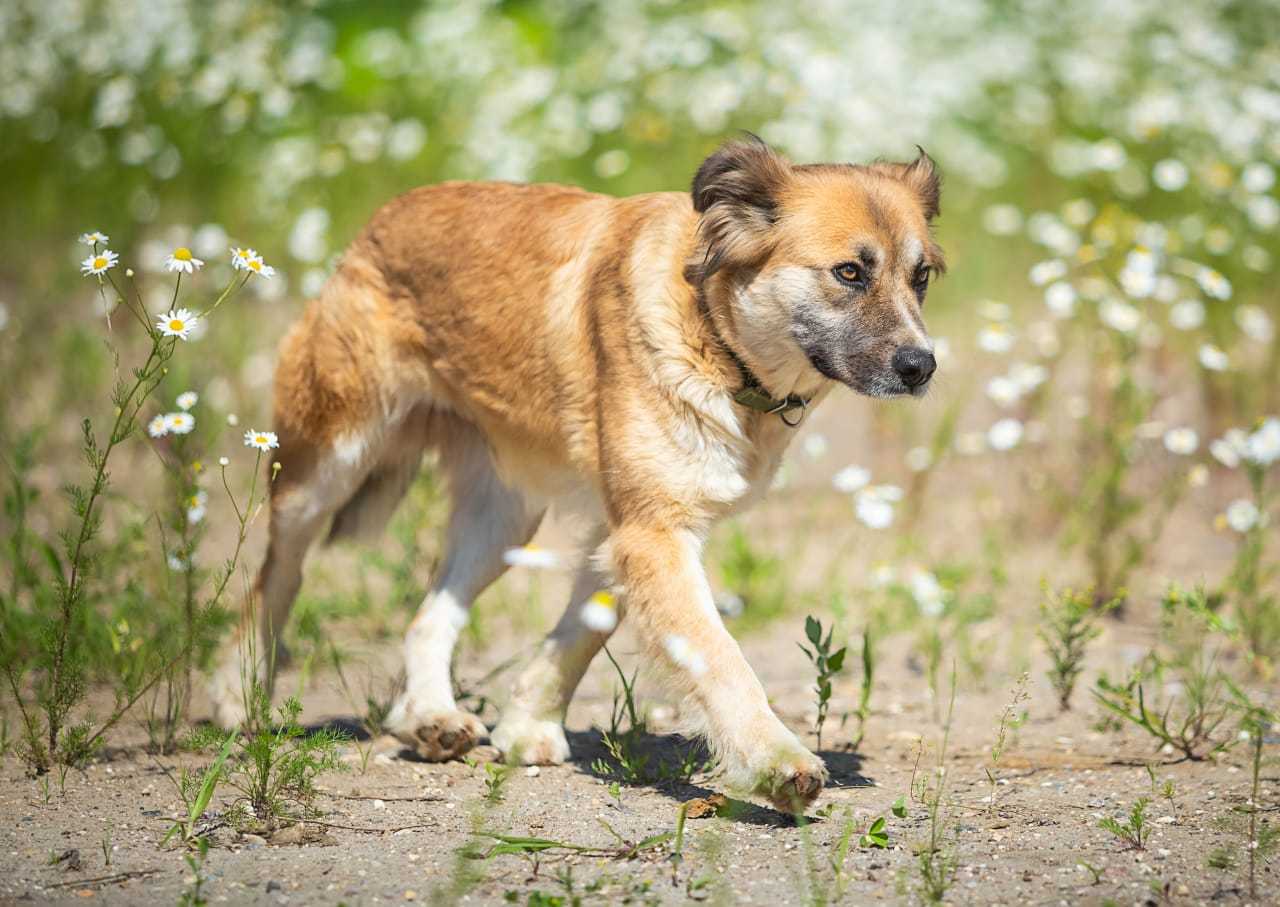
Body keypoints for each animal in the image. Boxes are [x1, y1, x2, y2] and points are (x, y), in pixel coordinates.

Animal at [212, 136, 942, 813]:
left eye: (922, 277)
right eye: (849, 272)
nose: (922, 366)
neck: (712, 328)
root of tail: (379, 221)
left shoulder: (626, 532)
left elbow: (584, 631)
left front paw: (527, 721)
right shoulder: (652, 534)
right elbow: (718, 656)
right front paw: (774, 760)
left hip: (503, 521)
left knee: (428, 615)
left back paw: (430, 716)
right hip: (327, 462)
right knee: (277, 573)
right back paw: (238, 691)